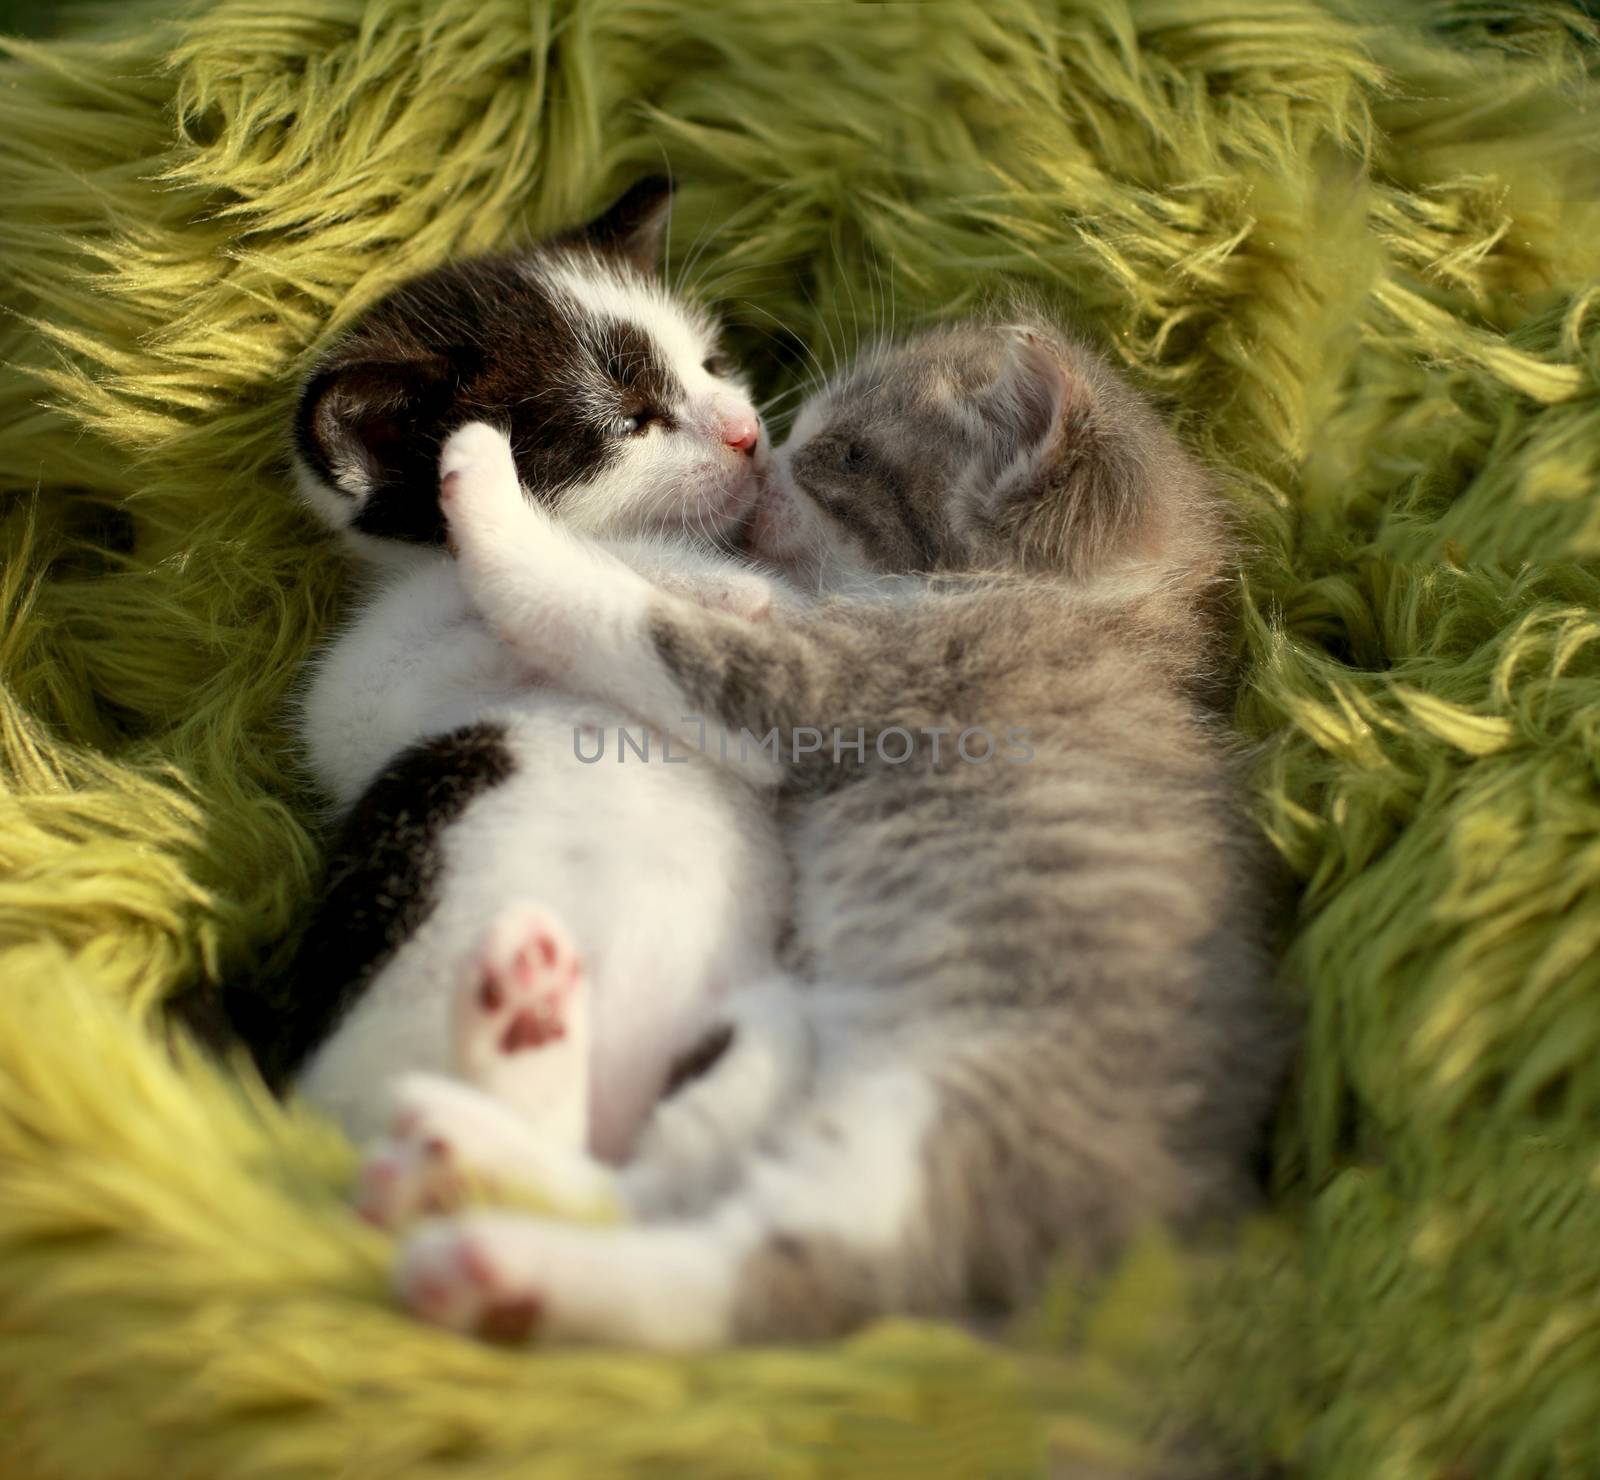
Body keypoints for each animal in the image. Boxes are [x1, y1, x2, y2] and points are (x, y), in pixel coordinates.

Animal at [241, 181, 793, 1164]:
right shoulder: (357, 697)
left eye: (712, 363)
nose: (748, 434)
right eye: (627, 420)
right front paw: (702, 581)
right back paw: (517, 1037)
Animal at [374, 315, 1286, 1350]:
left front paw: (496, 501)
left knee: (755, 1275)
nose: (760, 457)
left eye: (843, 454)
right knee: (660, 1181)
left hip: (935, 1131)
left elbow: (614, 611)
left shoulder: (831, 688)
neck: (1076, 609)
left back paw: (499, 1266)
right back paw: (479, 1108)